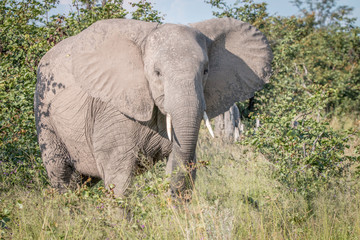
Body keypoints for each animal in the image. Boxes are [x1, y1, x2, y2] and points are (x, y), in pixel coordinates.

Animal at [34, 17, 272, 199]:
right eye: (157, 73)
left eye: (205, 71)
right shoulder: (112, 111)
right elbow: (119, 178)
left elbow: (183, 164)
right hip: (45, 115)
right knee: (63, 179)